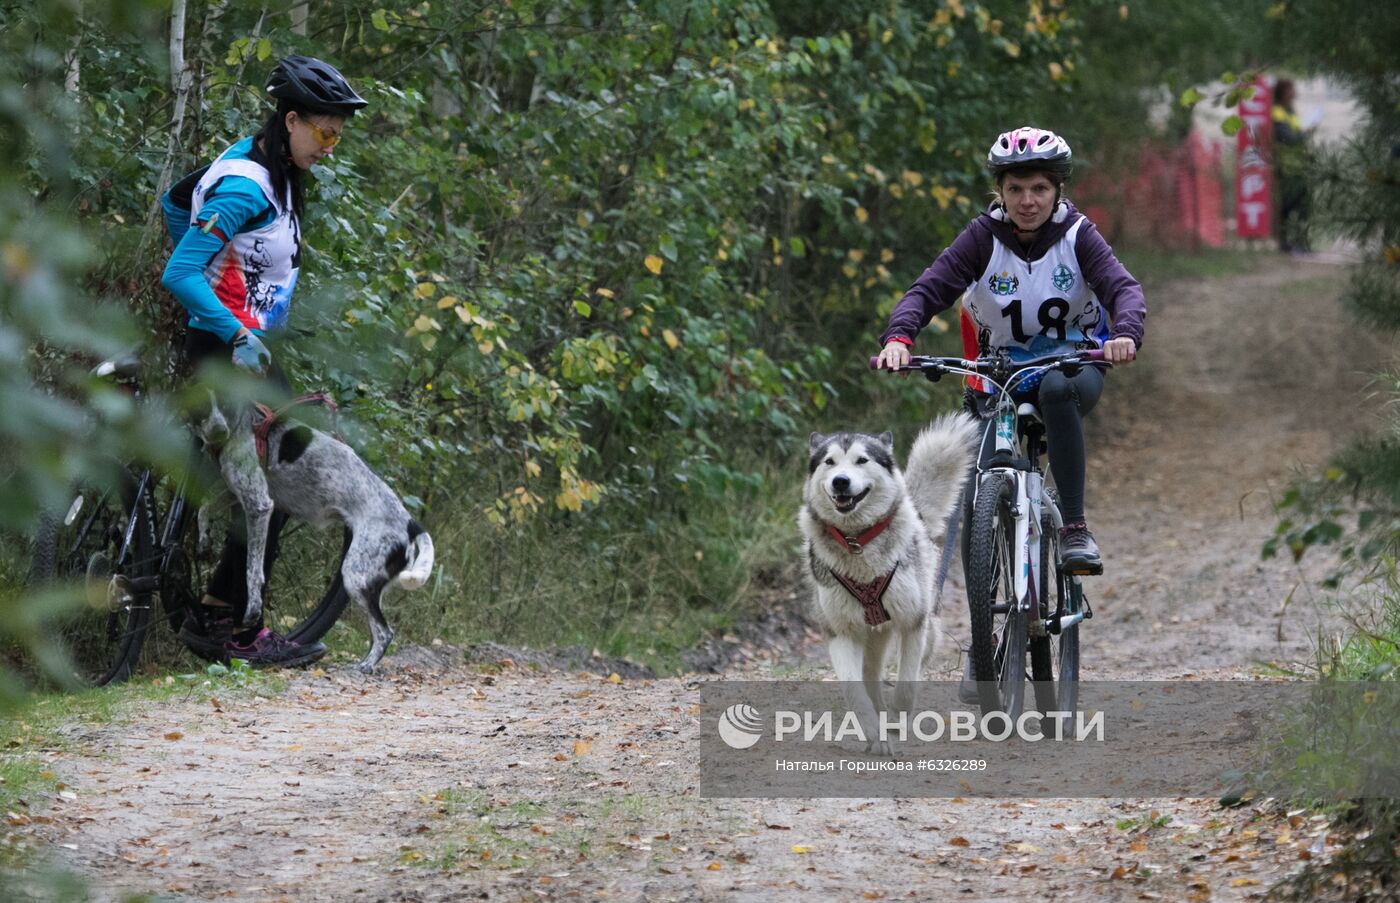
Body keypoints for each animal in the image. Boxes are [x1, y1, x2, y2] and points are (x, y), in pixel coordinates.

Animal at [200, 400, 434, 669]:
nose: (217, 431)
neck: (243, 423)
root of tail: (410, 523)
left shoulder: (259, 505)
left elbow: (252, 571)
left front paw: (253, 609)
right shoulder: (233, 493)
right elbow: (203, 508)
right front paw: (203, 539)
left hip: (354, 577)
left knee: (385, 633)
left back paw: (365, 666)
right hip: (368, 583)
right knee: (379, 632)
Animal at [806, 414, 980, 756]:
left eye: (862, 460)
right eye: (829, 462)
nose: (840, 481)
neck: (857, 543)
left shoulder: (913, 623)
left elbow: (906, 686)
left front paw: (898, 722)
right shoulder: (841, 633)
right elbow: (855, 694)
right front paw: (875, 732)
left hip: (923, 630)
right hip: (871, 636)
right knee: (870, 677)